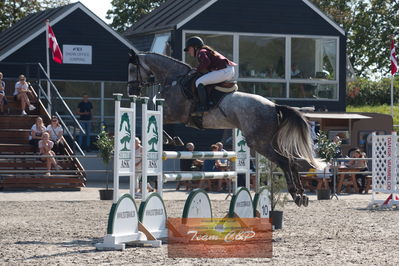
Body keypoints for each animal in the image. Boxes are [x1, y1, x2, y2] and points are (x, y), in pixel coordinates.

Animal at [128, 51, 322, 207]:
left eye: (131, 69)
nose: (132, 91)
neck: (174, 79)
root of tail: (274, 107)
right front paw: (173, 139)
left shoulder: (174, 113)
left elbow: (162, 125)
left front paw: (172, 139)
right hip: (270, 141)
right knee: (291, 161)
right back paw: (302, 194)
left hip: (259, 142)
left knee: (284, 161)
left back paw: (295, 194)